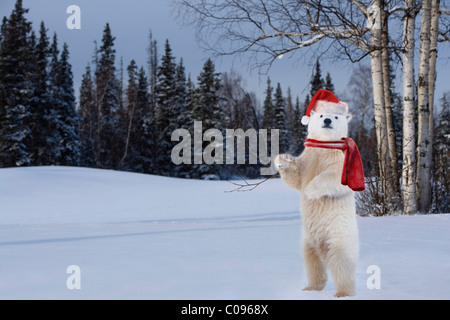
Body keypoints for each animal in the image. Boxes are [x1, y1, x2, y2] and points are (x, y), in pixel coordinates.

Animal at [274, 89, 366, 298]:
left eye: (336, 116)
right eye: (322, 115)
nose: (328, 121)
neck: (325, 146)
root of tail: (323, 248)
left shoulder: (340, 160)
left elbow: (334, 177)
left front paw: (310, 190)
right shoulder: (309, 157)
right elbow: (297, 176)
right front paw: (283, 159)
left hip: (340, 237)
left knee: (341, 264)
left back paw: (343, 292)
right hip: (307, 241)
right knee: (312, 263)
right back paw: (310, 287)